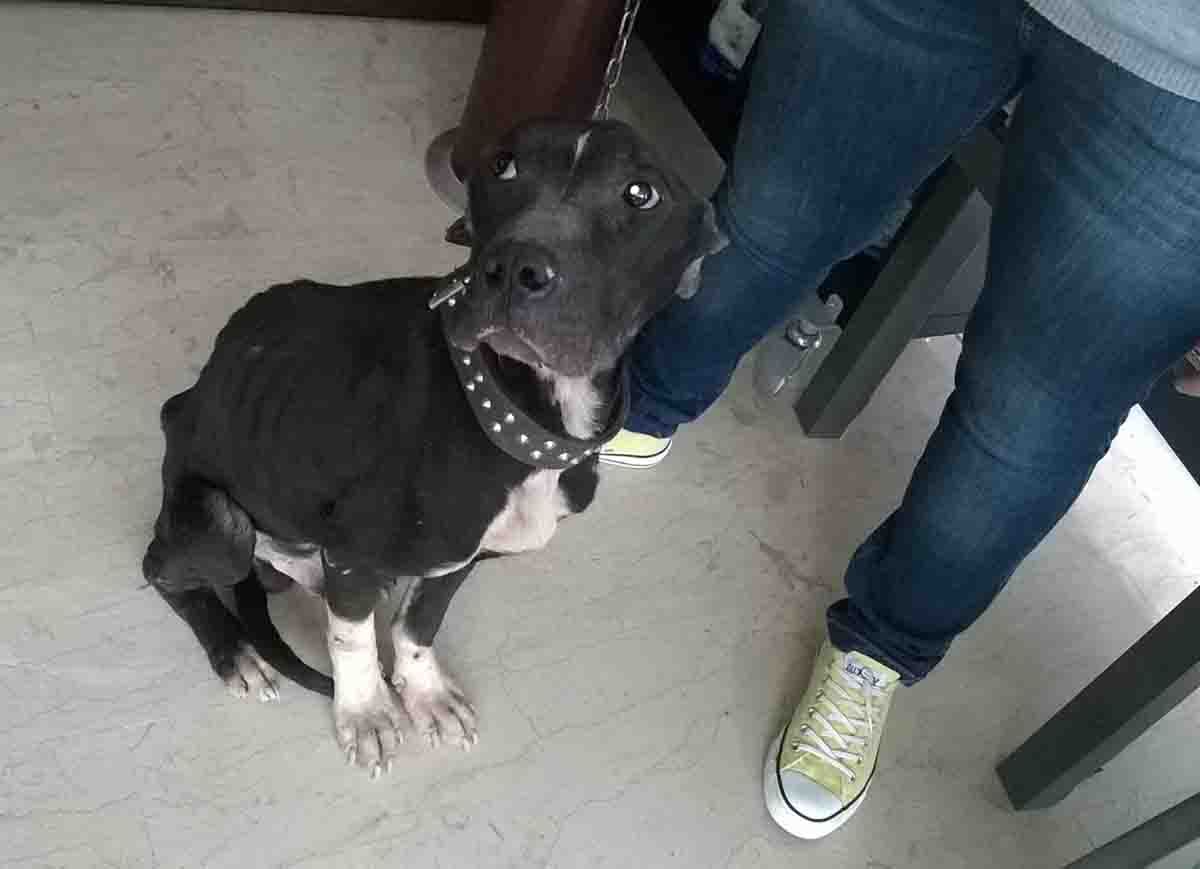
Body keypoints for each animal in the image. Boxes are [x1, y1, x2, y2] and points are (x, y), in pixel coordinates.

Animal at [141, 119, 726, 777]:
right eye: (503, 165)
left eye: (641, 194)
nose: (515, 267)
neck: (515, 408)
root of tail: (179, 407)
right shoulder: (354, 553)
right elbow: (352, 640)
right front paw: (366, 711)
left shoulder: (458, 557)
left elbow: (419, 624)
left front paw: (425, 694)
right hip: (218, 524)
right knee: (165, 569)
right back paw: (236, 650)